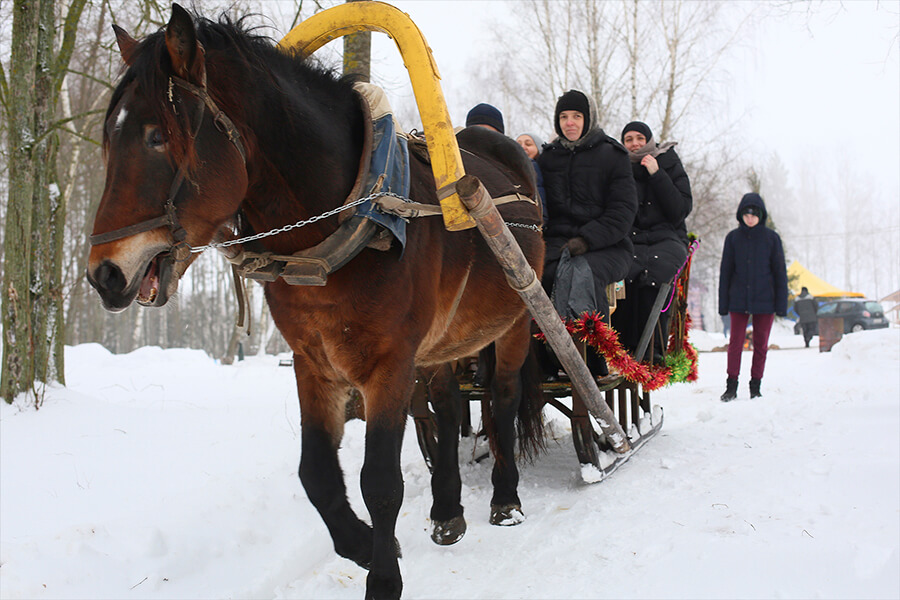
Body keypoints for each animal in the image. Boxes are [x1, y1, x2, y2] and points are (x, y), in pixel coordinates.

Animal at [88, 5, 544, 600]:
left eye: (155, 138)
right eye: (108, 138)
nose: (104, 273)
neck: (347, 218)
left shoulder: (389, 365)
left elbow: (380, 481)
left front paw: (383, 576)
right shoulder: (314, 361)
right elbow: (316, 474)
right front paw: (363, 543)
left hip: (515, 319)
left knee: (504, 399)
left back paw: (506, 499)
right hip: (439, 344)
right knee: (446, 405)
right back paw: (447, 510)